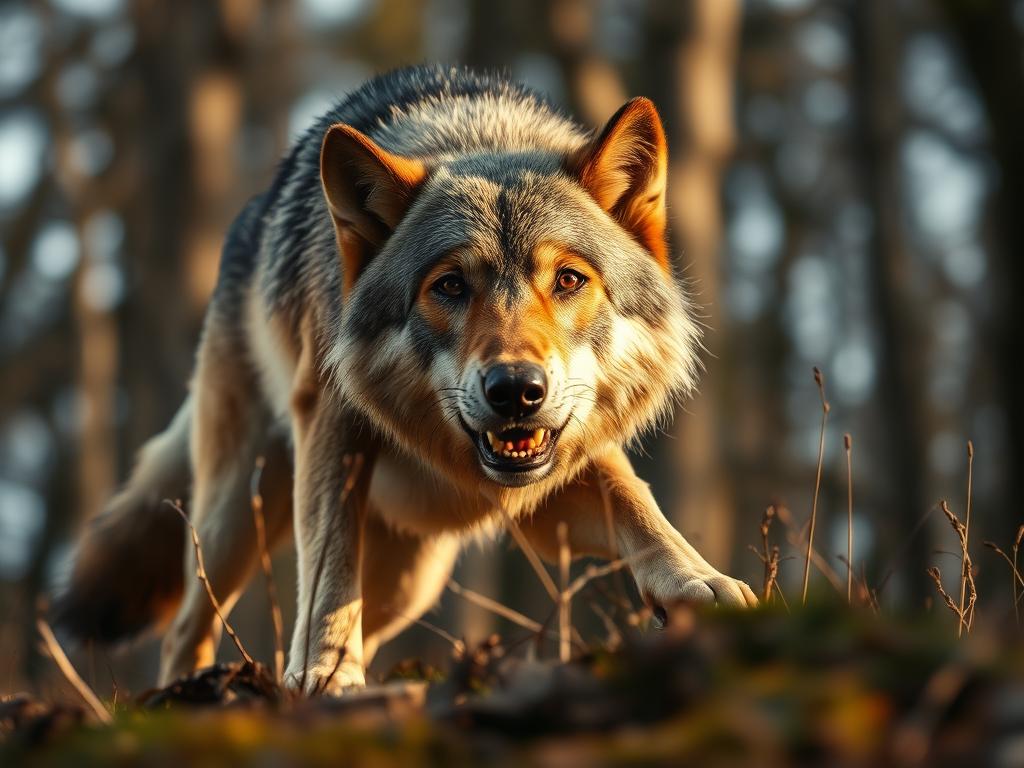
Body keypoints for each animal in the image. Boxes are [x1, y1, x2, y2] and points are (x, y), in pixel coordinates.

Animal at [53, 65, 756, 693]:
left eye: (568, 280)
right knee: (186, 627)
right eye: (448, 286)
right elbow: (331, 556)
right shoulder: (331, 429)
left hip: (409, 584)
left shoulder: (560, 475)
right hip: (235, 511)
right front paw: (326, 674)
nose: (516, 390)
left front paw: (701, 584)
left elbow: (638, 504)